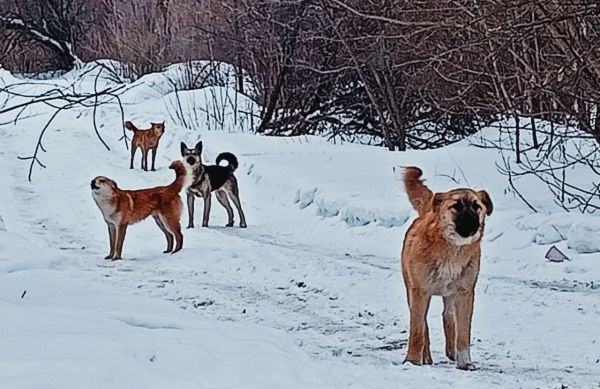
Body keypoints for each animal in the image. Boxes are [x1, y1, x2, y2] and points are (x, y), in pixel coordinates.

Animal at [398, 167, 492, 370]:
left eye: (477, 206)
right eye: (456, 206)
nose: (473, 223)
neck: (451, 252)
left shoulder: (464, 293)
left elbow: (463, 332)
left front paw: (464, 362)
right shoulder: (419, 291)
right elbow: (417, 330)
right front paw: (412, 360)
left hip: (449, 296)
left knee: (448, 317)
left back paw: (451, 352)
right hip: (411, 289)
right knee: (423, 325)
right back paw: (425, 356)